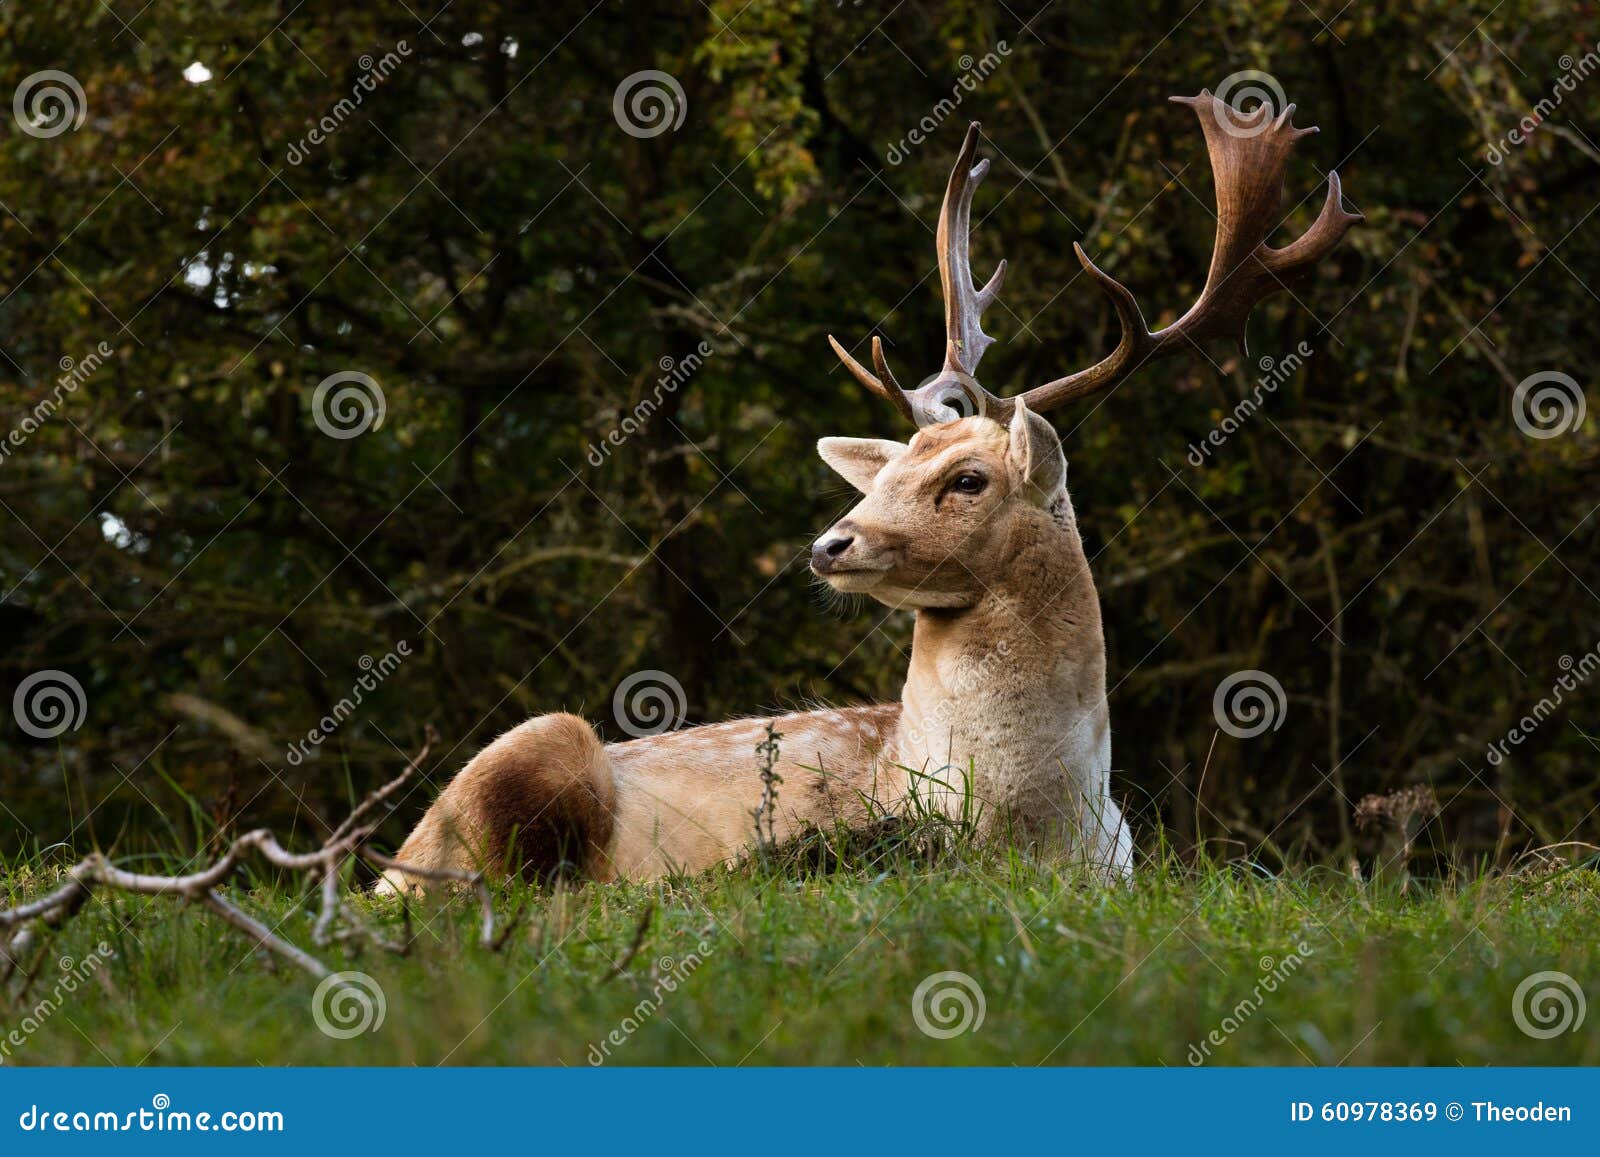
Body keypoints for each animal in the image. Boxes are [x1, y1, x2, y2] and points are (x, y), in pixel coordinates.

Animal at [380, 88, 1356, 896]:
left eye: (968, 479)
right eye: (885, 470)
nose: (829, 543)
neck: (1045, 830)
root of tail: (387, 870)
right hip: (533, 748)